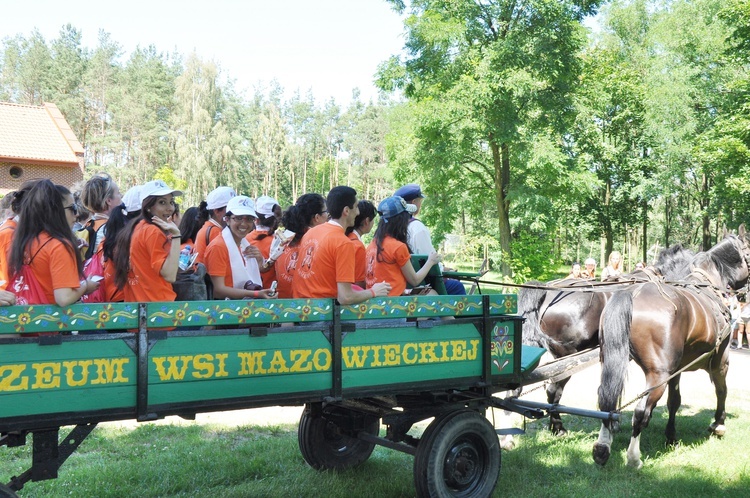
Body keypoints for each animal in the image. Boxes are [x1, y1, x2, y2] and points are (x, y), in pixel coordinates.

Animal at [596, 230, 748, 466]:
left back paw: (603, 447)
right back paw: (633, 457)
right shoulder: (720, 360)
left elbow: (674, 401)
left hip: (613, 362)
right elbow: (721, 390)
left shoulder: (677, 369)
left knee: (606, 400)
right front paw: (719, 424)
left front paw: (671, 437)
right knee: (641, 411)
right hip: (659, 375)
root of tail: (632, 293)